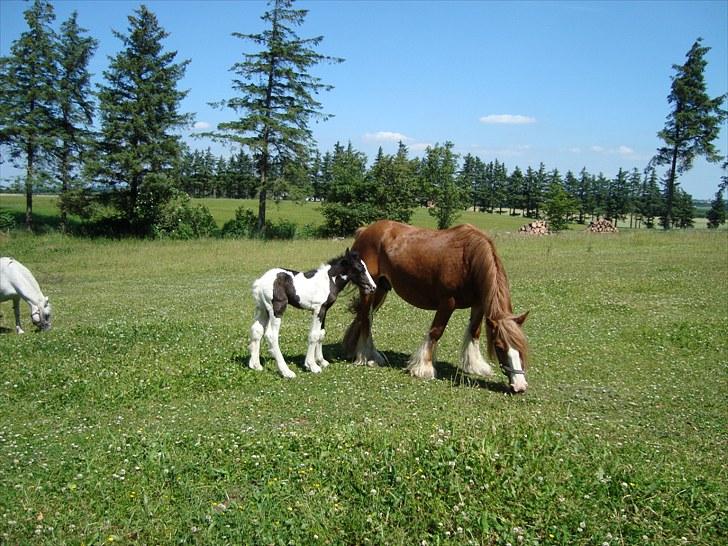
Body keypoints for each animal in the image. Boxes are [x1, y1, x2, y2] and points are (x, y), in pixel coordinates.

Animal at [249, 249, 378, 376]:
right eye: (360, 269)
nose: (373, 287)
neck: (328, 281)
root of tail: (260, 282)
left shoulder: (325, 309)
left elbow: (321, 334)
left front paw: (321, 361)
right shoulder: (318, 309)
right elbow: (314, 335)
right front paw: (312, 365)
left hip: (263, 309)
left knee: (257, 330)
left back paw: (256, 365)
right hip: (277, 309)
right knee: (271, 335)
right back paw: (286, 372)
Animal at [342, 219, 528, 394]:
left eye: (521, 347)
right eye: (499, 347)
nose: (520, 386)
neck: (468, 259)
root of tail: (365, 230)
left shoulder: (478, 305)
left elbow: (474, 332)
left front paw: (475, 366)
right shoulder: (447, 302)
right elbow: (436, 332)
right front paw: (423, 368)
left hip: (380, 288)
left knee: (362, 316)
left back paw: (352, 349)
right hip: (368, 289)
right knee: (366, 319)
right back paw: (368, 356)